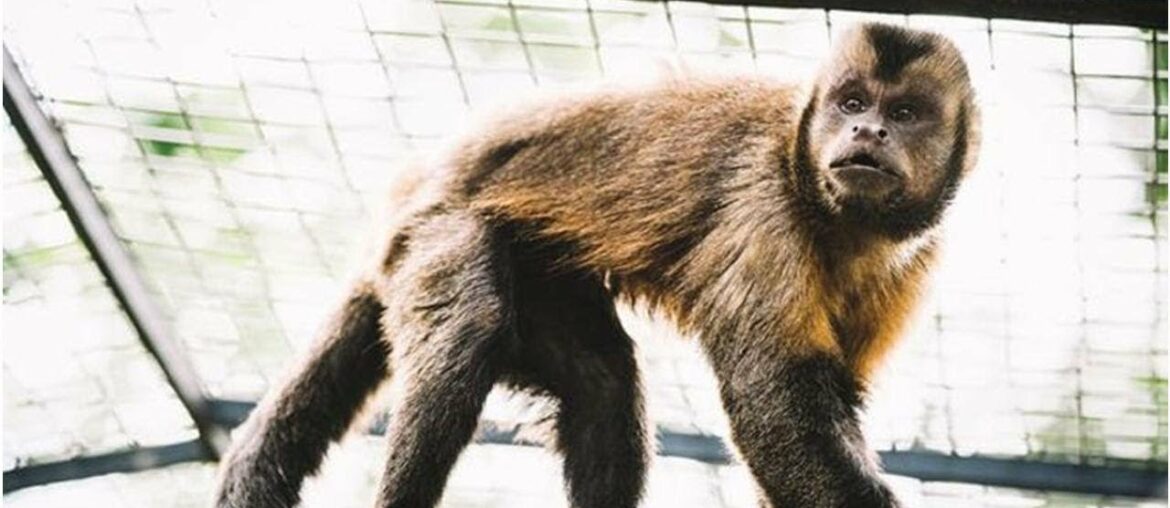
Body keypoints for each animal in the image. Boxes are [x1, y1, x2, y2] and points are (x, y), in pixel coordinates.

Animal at [213, 22, 979, 508]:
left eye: (904, 114)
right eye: (852, 103)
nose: (867, 130)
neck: (837, 220)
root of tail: (416, 181)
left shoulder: (915, 259)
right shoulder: (763, 211)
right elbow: (774, 406)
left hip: (543, 272)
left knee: (604, 380)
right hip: (434, 227)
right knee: (465, 333)